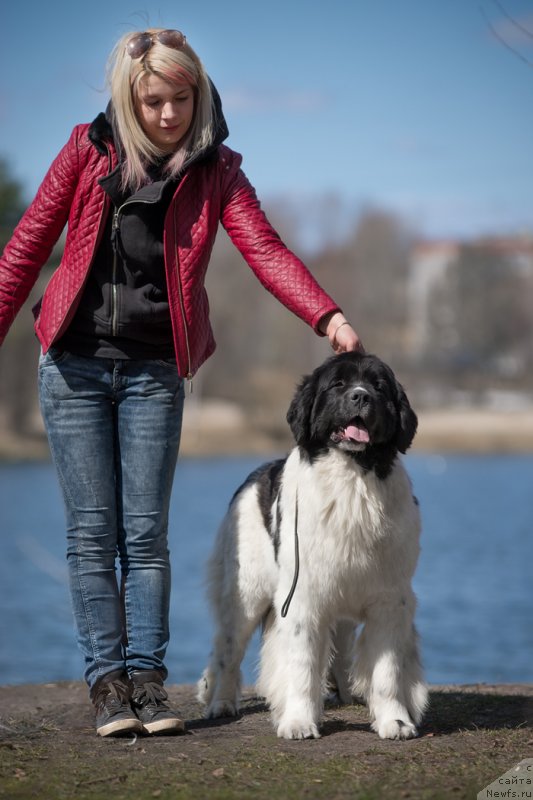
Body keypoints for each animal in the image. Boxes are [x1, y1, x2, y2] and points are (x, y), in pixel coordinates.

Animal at [197, 354, 426, 740]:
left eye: (378, 386)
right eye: (338, 384)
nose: (361, 397)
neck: (352, 479)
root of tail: (256, 474)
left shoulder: (389, 599)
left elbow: (387, 668)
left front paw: (394, 721)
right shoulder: (303, 596)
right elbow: (302, 664)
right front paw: (299, 722)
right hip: (246, 594)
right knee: (228, 648)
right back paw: (222, 703)